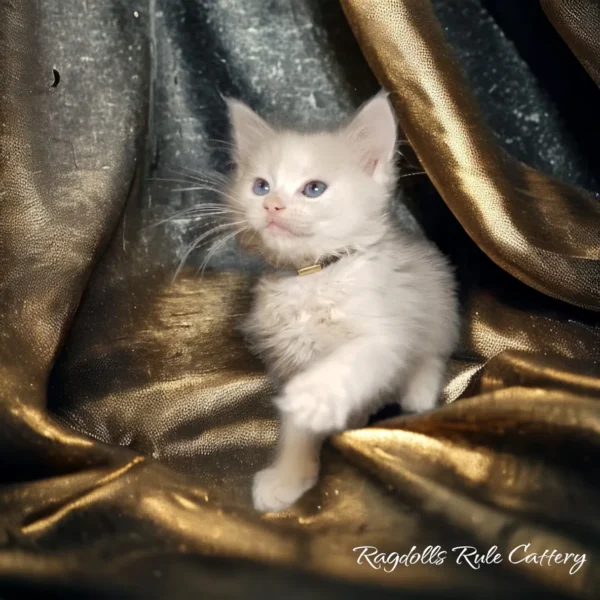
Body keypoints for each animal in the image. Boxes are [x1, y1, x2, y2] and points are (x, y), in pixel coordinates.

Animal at [223, 92, 458, 510]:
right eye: (261, 187)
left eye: (314, 189)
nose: (272, 205)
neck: (313, 276)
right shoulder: (294, 355)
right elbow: (297, 430)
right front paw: (290, 476)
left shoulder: (386, 333)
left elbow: (351, 361)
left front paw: (313, 396)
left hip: (440, 309)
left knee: (430, 358)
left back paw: (417, 394)